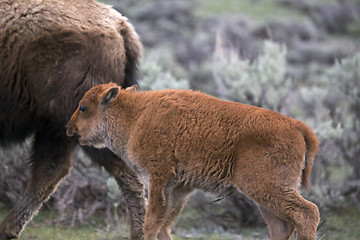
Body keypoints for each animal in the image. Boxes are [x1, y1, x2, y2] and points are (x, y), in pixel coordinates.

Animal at [66, 83, 320, 240]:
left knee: (306, 213)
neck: (136, 116)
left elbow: (151, 222)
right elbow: (164, 224)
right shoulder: (178, 189)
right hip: (264, 196)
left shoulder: (158, 180)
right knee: (281, 226)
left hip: (267, 188)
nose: (69, 128)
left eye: (83, 107)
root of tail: (296, 126)